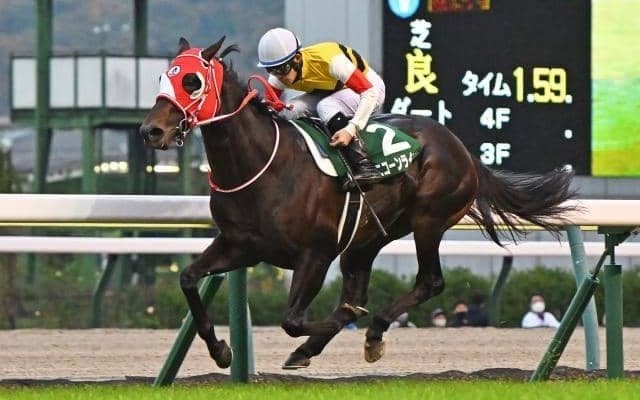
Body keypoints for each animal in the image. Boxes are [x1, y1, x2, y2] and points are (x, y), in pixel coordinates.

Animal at [139, 37, 576, 370]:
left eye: (192, 81)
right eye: (162, 77)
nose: (151, 131)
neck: (262, 164)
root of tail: (463, 150)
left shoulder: (314, 254)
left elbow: (293, 320)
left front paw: (330, 330)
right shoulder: (240, 245)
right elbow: (188, 279)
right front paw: (221, 350)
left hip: (428, 220)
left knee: (427, 282)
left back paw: (372, 329)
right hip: (366, 238)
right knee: (361, 292)